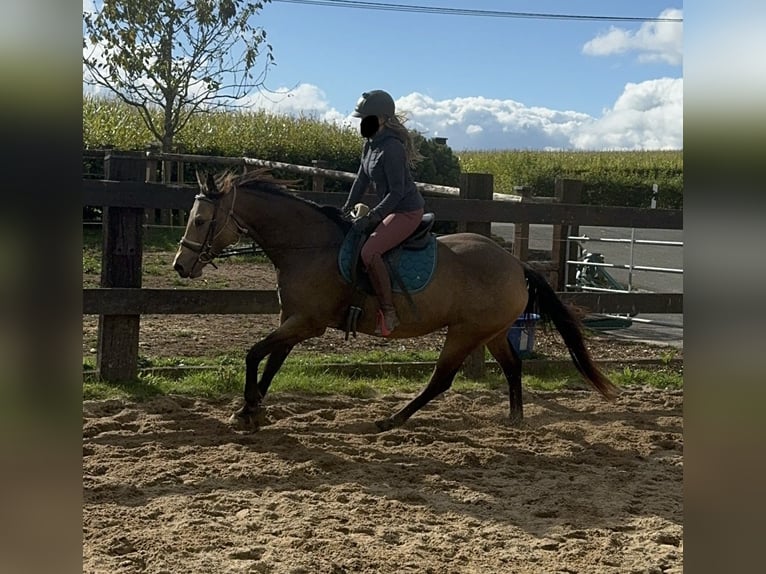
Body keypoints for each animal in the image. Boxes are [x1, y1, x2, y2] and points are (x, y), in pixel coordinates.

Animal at [172, 170, 616, 432]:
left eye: (199, 220)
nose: (180, 265)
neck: (309, 246)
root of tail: (515, 262)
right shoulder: (294, 320)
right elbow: (272, 361)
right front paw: (251, 410)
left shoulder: (307, 322)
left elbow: (254, 354)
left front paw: (248, 405)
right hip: (491, 332)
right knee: (511, 368)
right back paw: (514, 419)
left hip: (465, 333)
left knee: (441, 380)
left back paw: (393, 419)